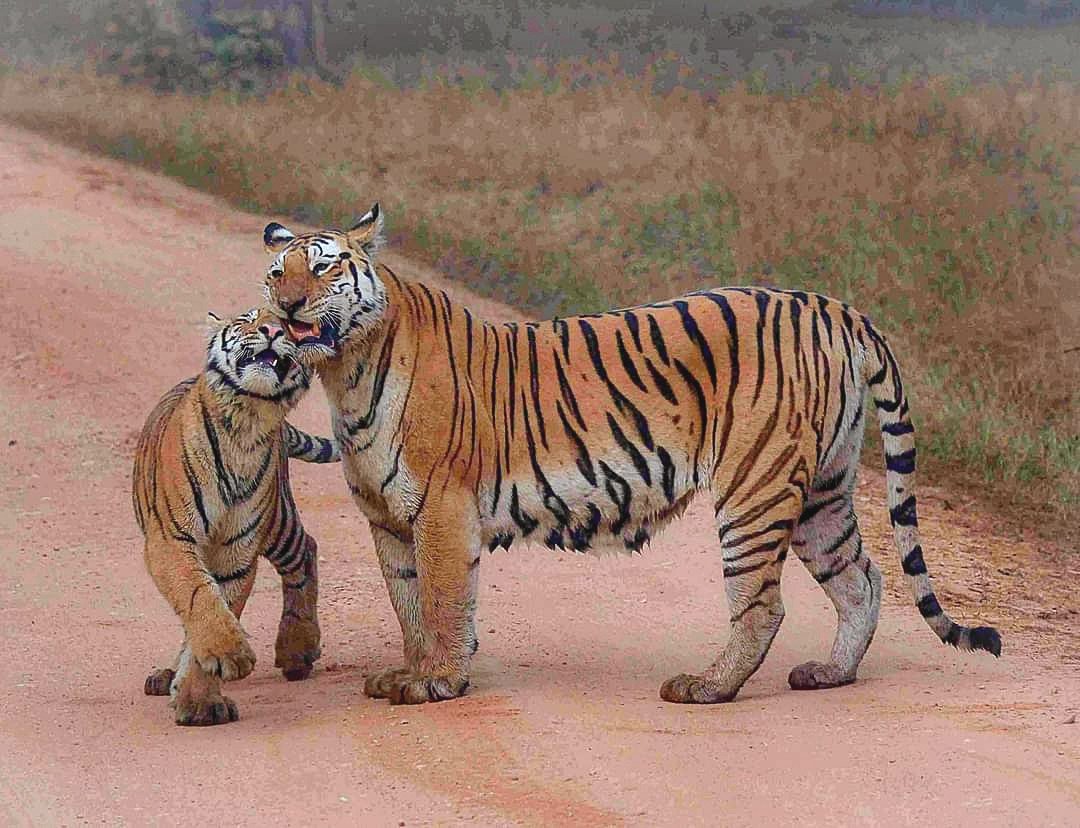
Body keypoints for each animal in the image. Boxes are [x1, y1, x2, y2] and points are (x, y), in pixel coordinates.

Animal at [132, 307, 339, 725]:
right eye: (248, 319)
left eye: (288, 325)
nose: (273, 329)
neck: (247, 421)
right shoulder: (171, 540)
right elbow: (199, 598)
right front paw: (226, 654)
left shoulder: (236, 551)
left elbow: (220, 604)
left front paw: (199, 699)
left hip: (277, 522)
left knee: (305, 551)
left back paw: (297, 649)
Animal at [260, 203, 1001, 706]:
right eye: (277, 272)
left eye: (322, 266)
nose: (288, 305)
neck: (347, 369)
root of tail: (831, 304)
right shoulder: (387, 517)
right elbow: (407, 603)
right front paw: (413, 671)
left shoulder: (441, 507)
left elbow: (442, 600)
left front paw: (437, 682)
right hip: (824, 488)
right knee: (862, 579)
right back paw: (831, 673)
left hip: (755, 487)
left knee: (763, 604)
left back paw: (708, 686)